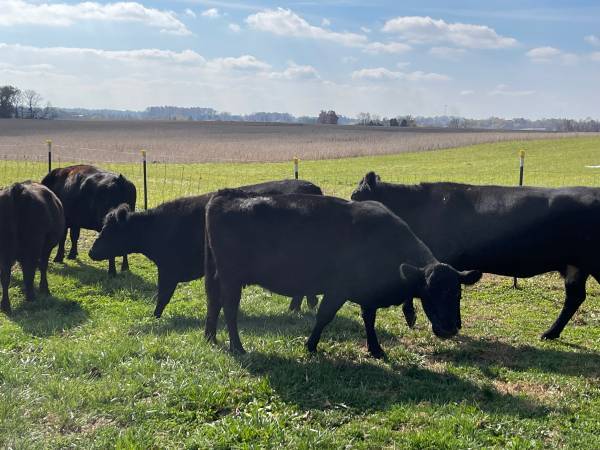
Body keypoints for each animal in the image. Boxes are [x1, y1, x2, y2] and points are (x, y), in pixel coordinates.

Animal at [0, 181, 65, 312]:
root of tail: (17, 190)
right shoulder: (46, 248)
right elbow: (42, 266)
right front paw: (44, 288)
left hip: (5, 250)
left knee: (5, 275)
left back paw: (5, 305)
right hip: (32, 247)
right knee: (29, 270)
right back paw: (31, 297)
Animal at [88, 178, 324, 316]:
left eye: (109, 230)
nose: (91, 251)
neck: (160, 226)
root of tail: (311, 187)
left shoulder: (168, 268)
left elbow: (162, 295)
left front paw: (154, 316)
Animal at [204, 191, 480, 358]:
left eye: (457, 294)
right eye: (429, 293)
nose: (449, 329)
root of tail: (225, 195)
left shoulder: (369, 292)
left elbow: (369, 320)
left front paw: (375, 349)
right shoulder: (338, 289)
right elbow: (324, 316)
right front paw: (311, 345)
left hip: (218, 275)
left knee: (213, 302)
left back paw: (210, 337)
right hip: (232, 278)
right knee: (229, 308)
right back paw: (237, 347)